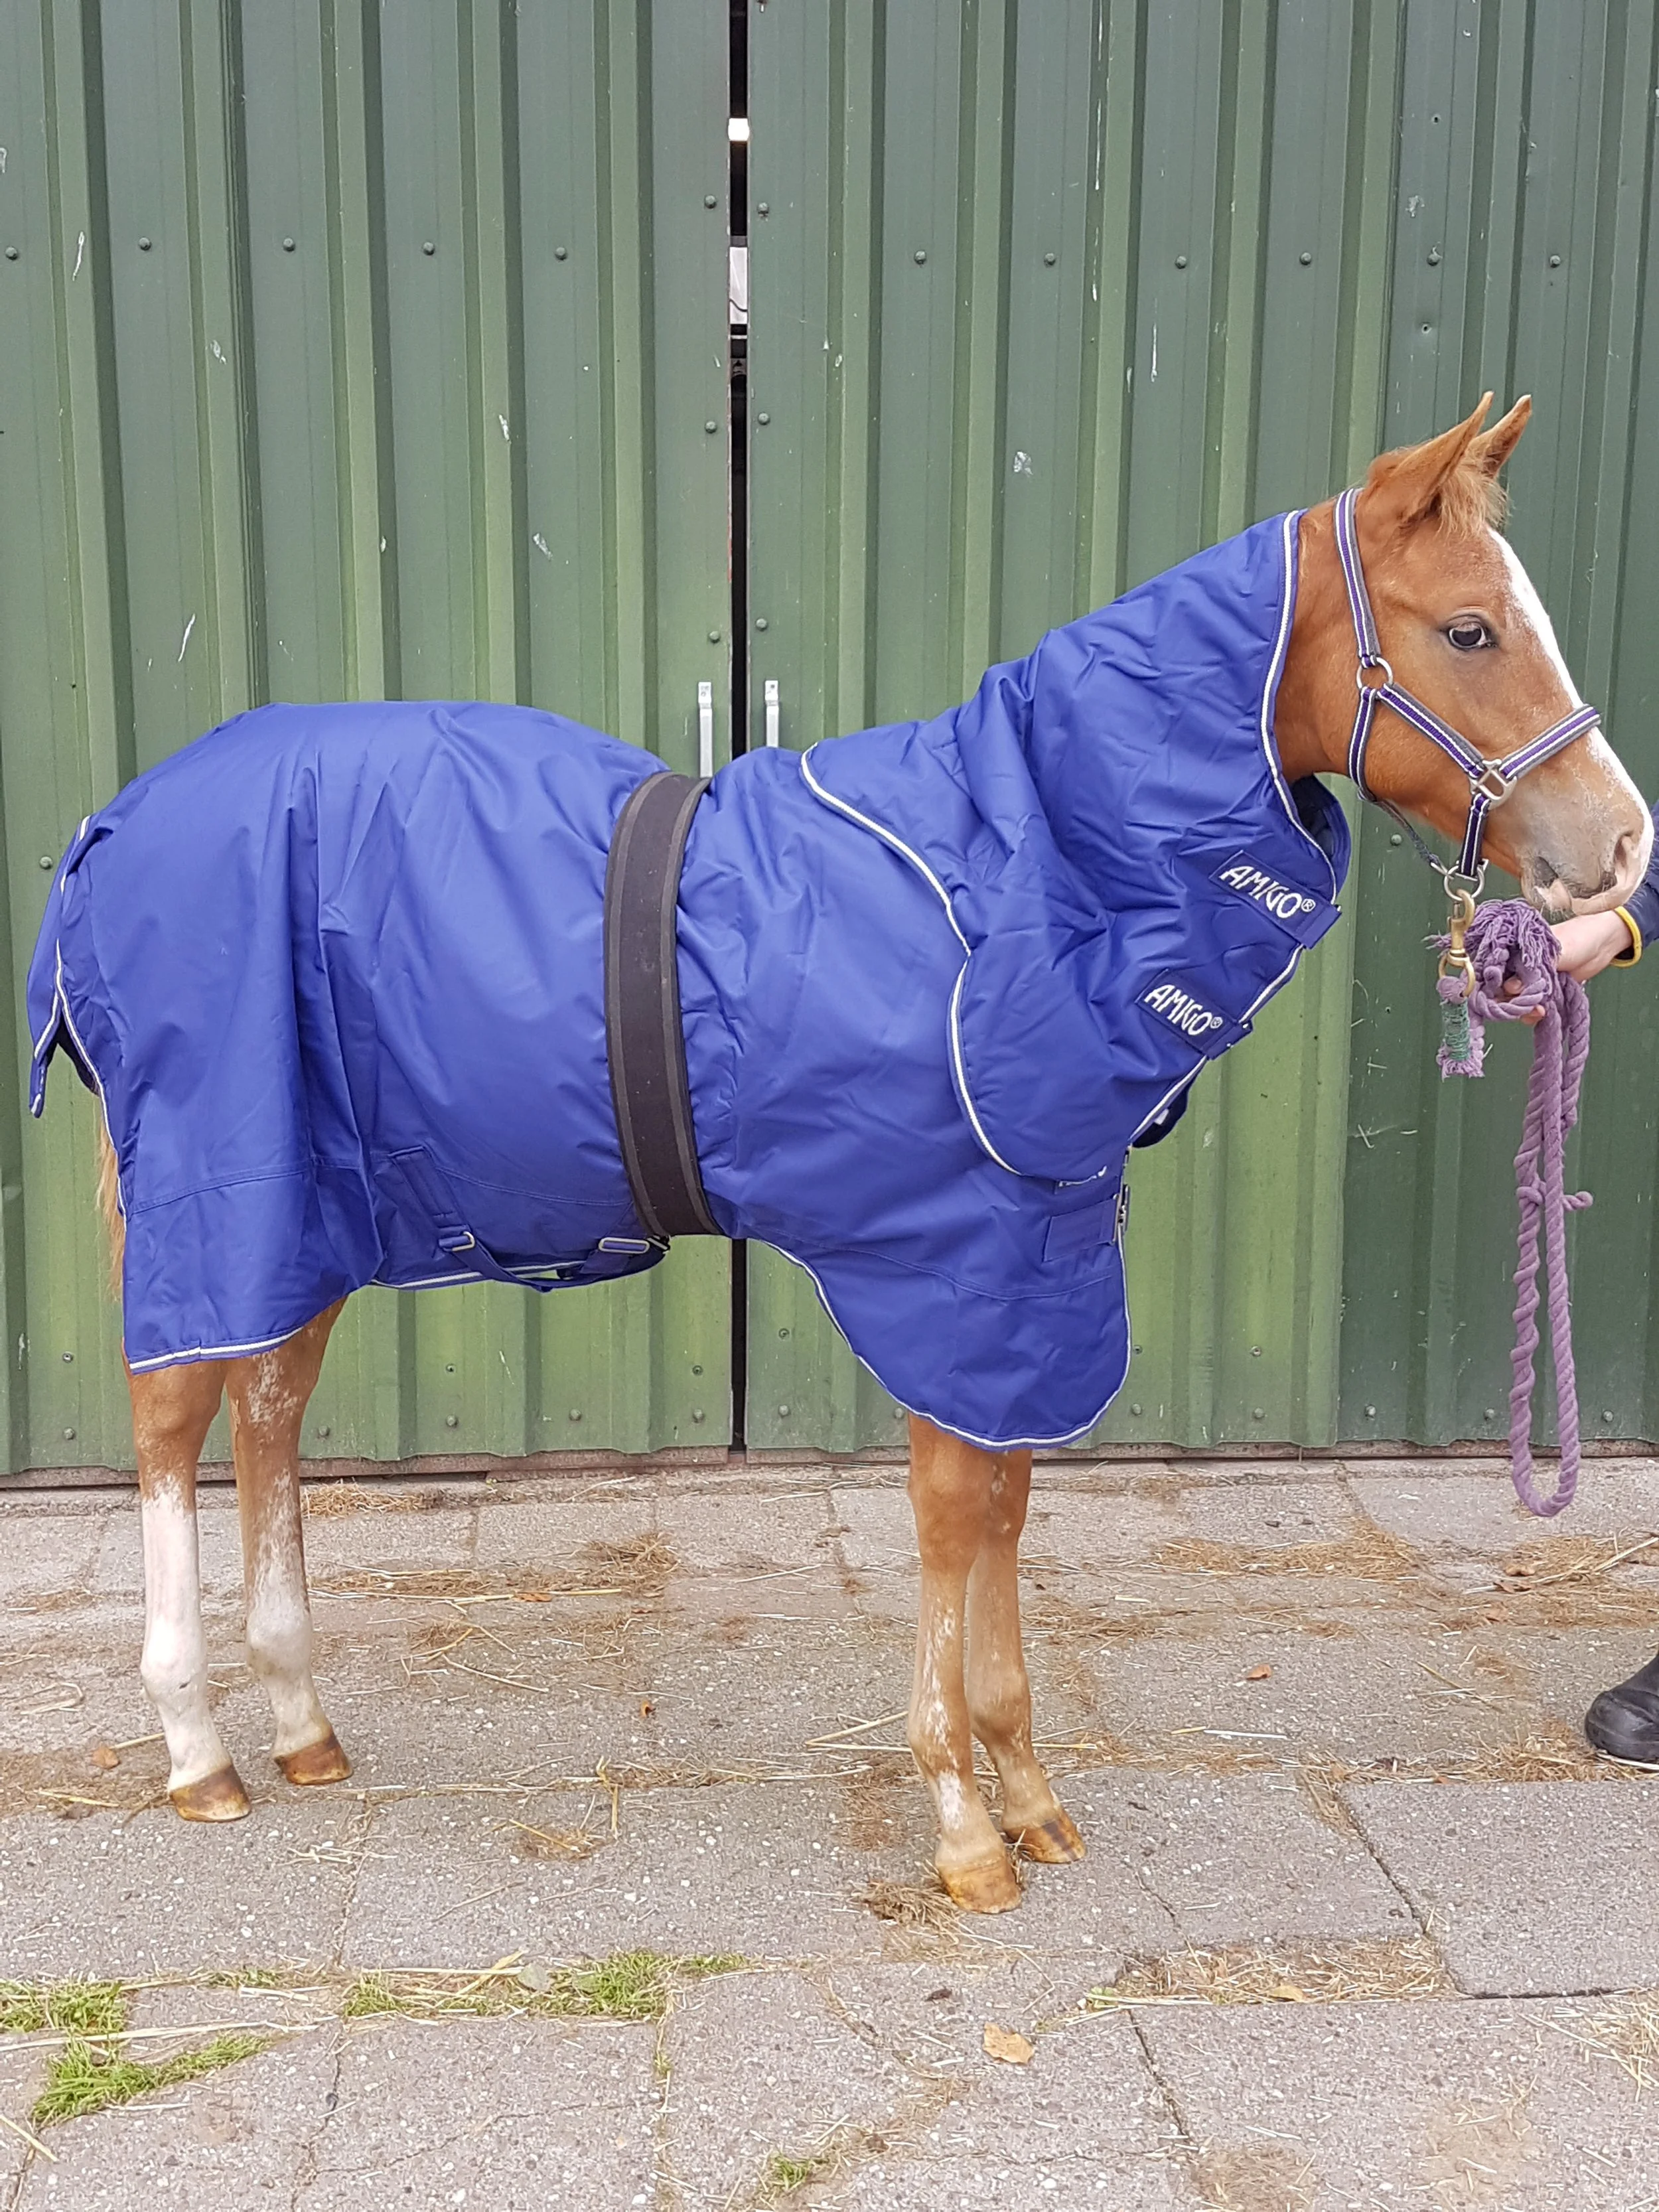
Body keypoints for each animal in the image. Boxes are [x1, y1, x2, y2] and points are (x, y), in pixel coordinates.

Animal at [30, 396, 1650, 1915]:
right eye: (1468, 626)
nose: (1622, 847)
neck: (1028, 877)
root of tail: (109, 828)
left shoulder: (1036, 1274)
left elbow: (1005, 1506)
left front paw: (1026, 1789)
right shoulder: (946, 1267)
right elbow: (953, 1517)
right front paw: (962, 1824)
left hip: (314, 1211)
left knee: (267, 1412)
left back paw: (301, 1721)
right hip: (220, 1188)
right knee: (174, 1423)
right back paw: (197, 1747)